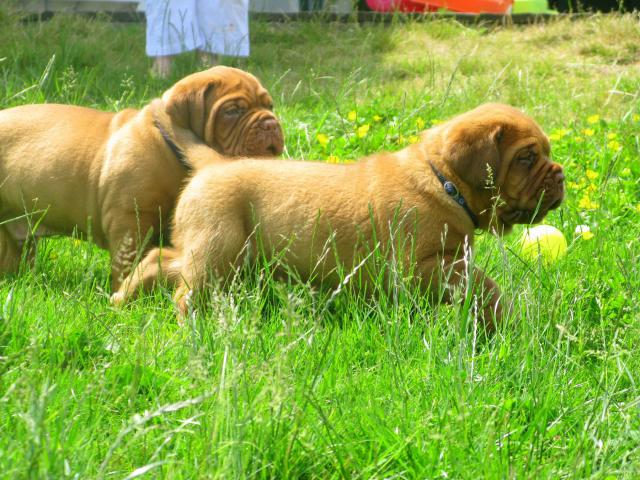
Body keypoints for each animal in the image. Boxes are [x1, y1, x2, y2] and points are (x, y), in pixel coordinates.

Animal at [0, 65, 282, 286]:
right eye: (233, 111)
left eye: (269, 105)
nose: (271, 124)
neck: (170, 149)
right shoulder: (130, 222)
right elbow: (128, 266)